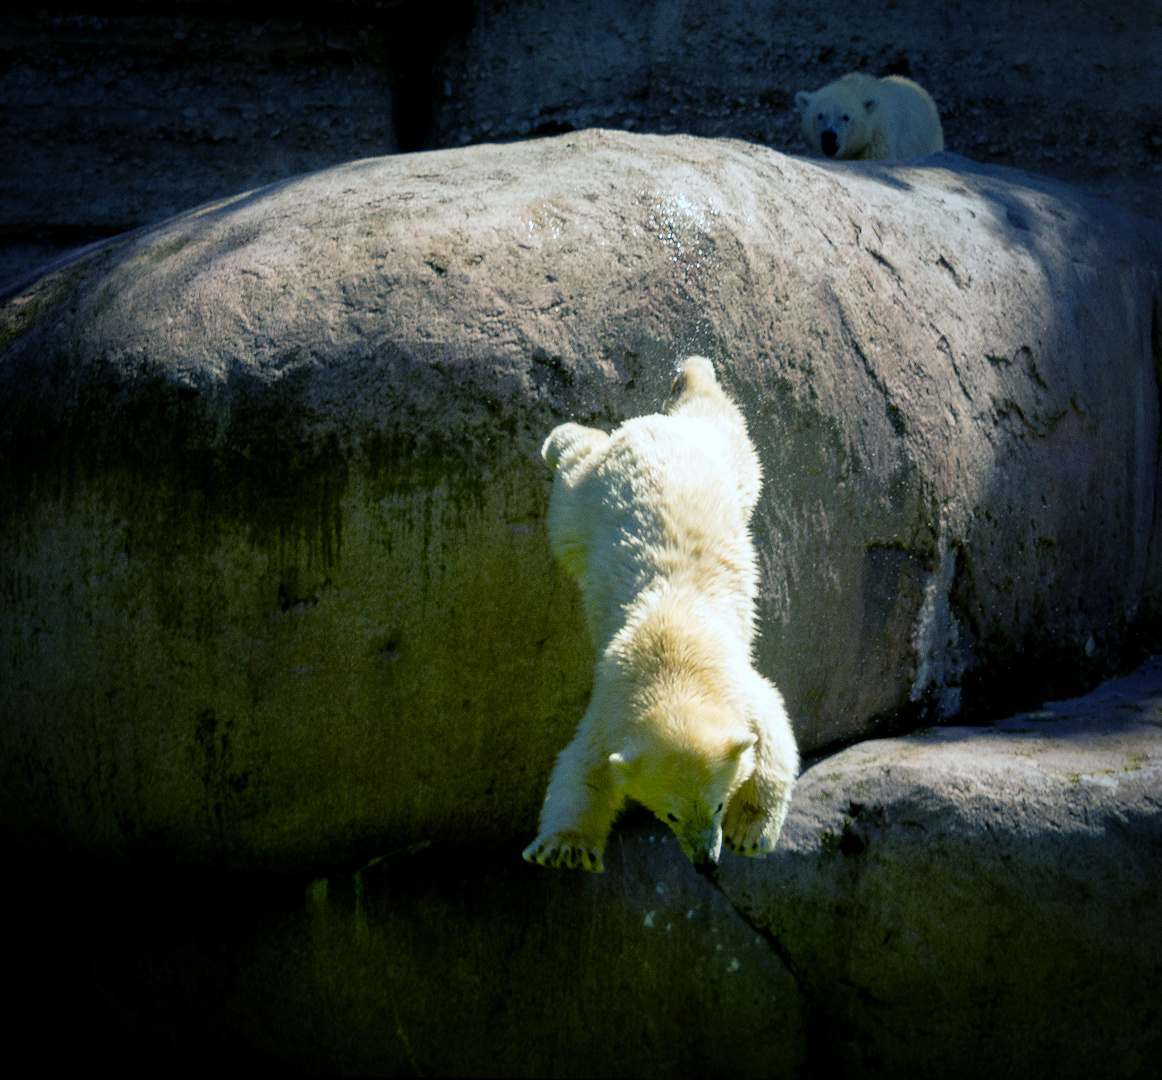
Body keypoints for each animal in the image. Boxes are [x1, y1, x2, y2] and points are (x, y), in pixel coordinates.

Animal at [525, 358, 799, 874]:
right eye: (669, 814)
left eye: (718, 802)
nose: (706, 862)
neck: (673, 650)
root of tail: (644, 429)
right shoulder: (613, 709)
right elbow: (584, 769)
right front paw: (565, 849)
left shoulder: (740, 687)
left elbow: (774, 733)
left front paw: (749, 832)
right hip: (587, 506)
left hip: (715, 461)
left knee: (723, 426)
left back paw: (690, 373)